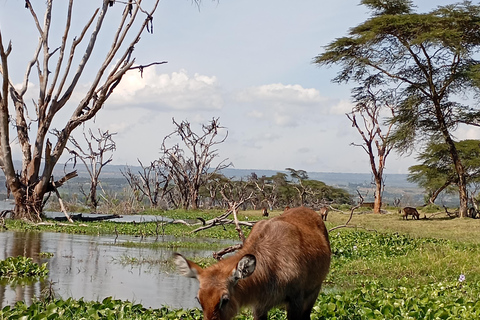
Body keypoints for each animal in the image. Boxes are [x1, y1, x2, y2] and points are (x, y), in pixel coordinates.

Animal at [174, 206, 332, 320]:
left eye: (224, 299)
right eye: (199, 300)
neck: (273, 266)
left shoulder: (296, 301)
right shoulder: (259, 306)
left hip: (314, 291)